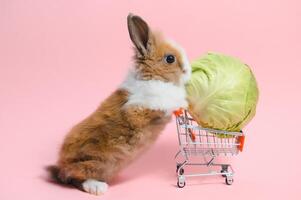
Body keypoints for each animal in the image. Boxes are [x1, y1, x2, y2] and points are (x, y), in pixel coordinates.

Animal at [48, 13, 191, 195]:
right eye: (170, 58)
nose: (188, 71)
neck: (152, 77)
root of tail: (59, 165)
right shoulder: (137, 109)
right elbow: (167, 101)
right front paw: (184, 101)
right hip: (92, 162)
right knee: (73, 177)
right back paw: (97, 188)